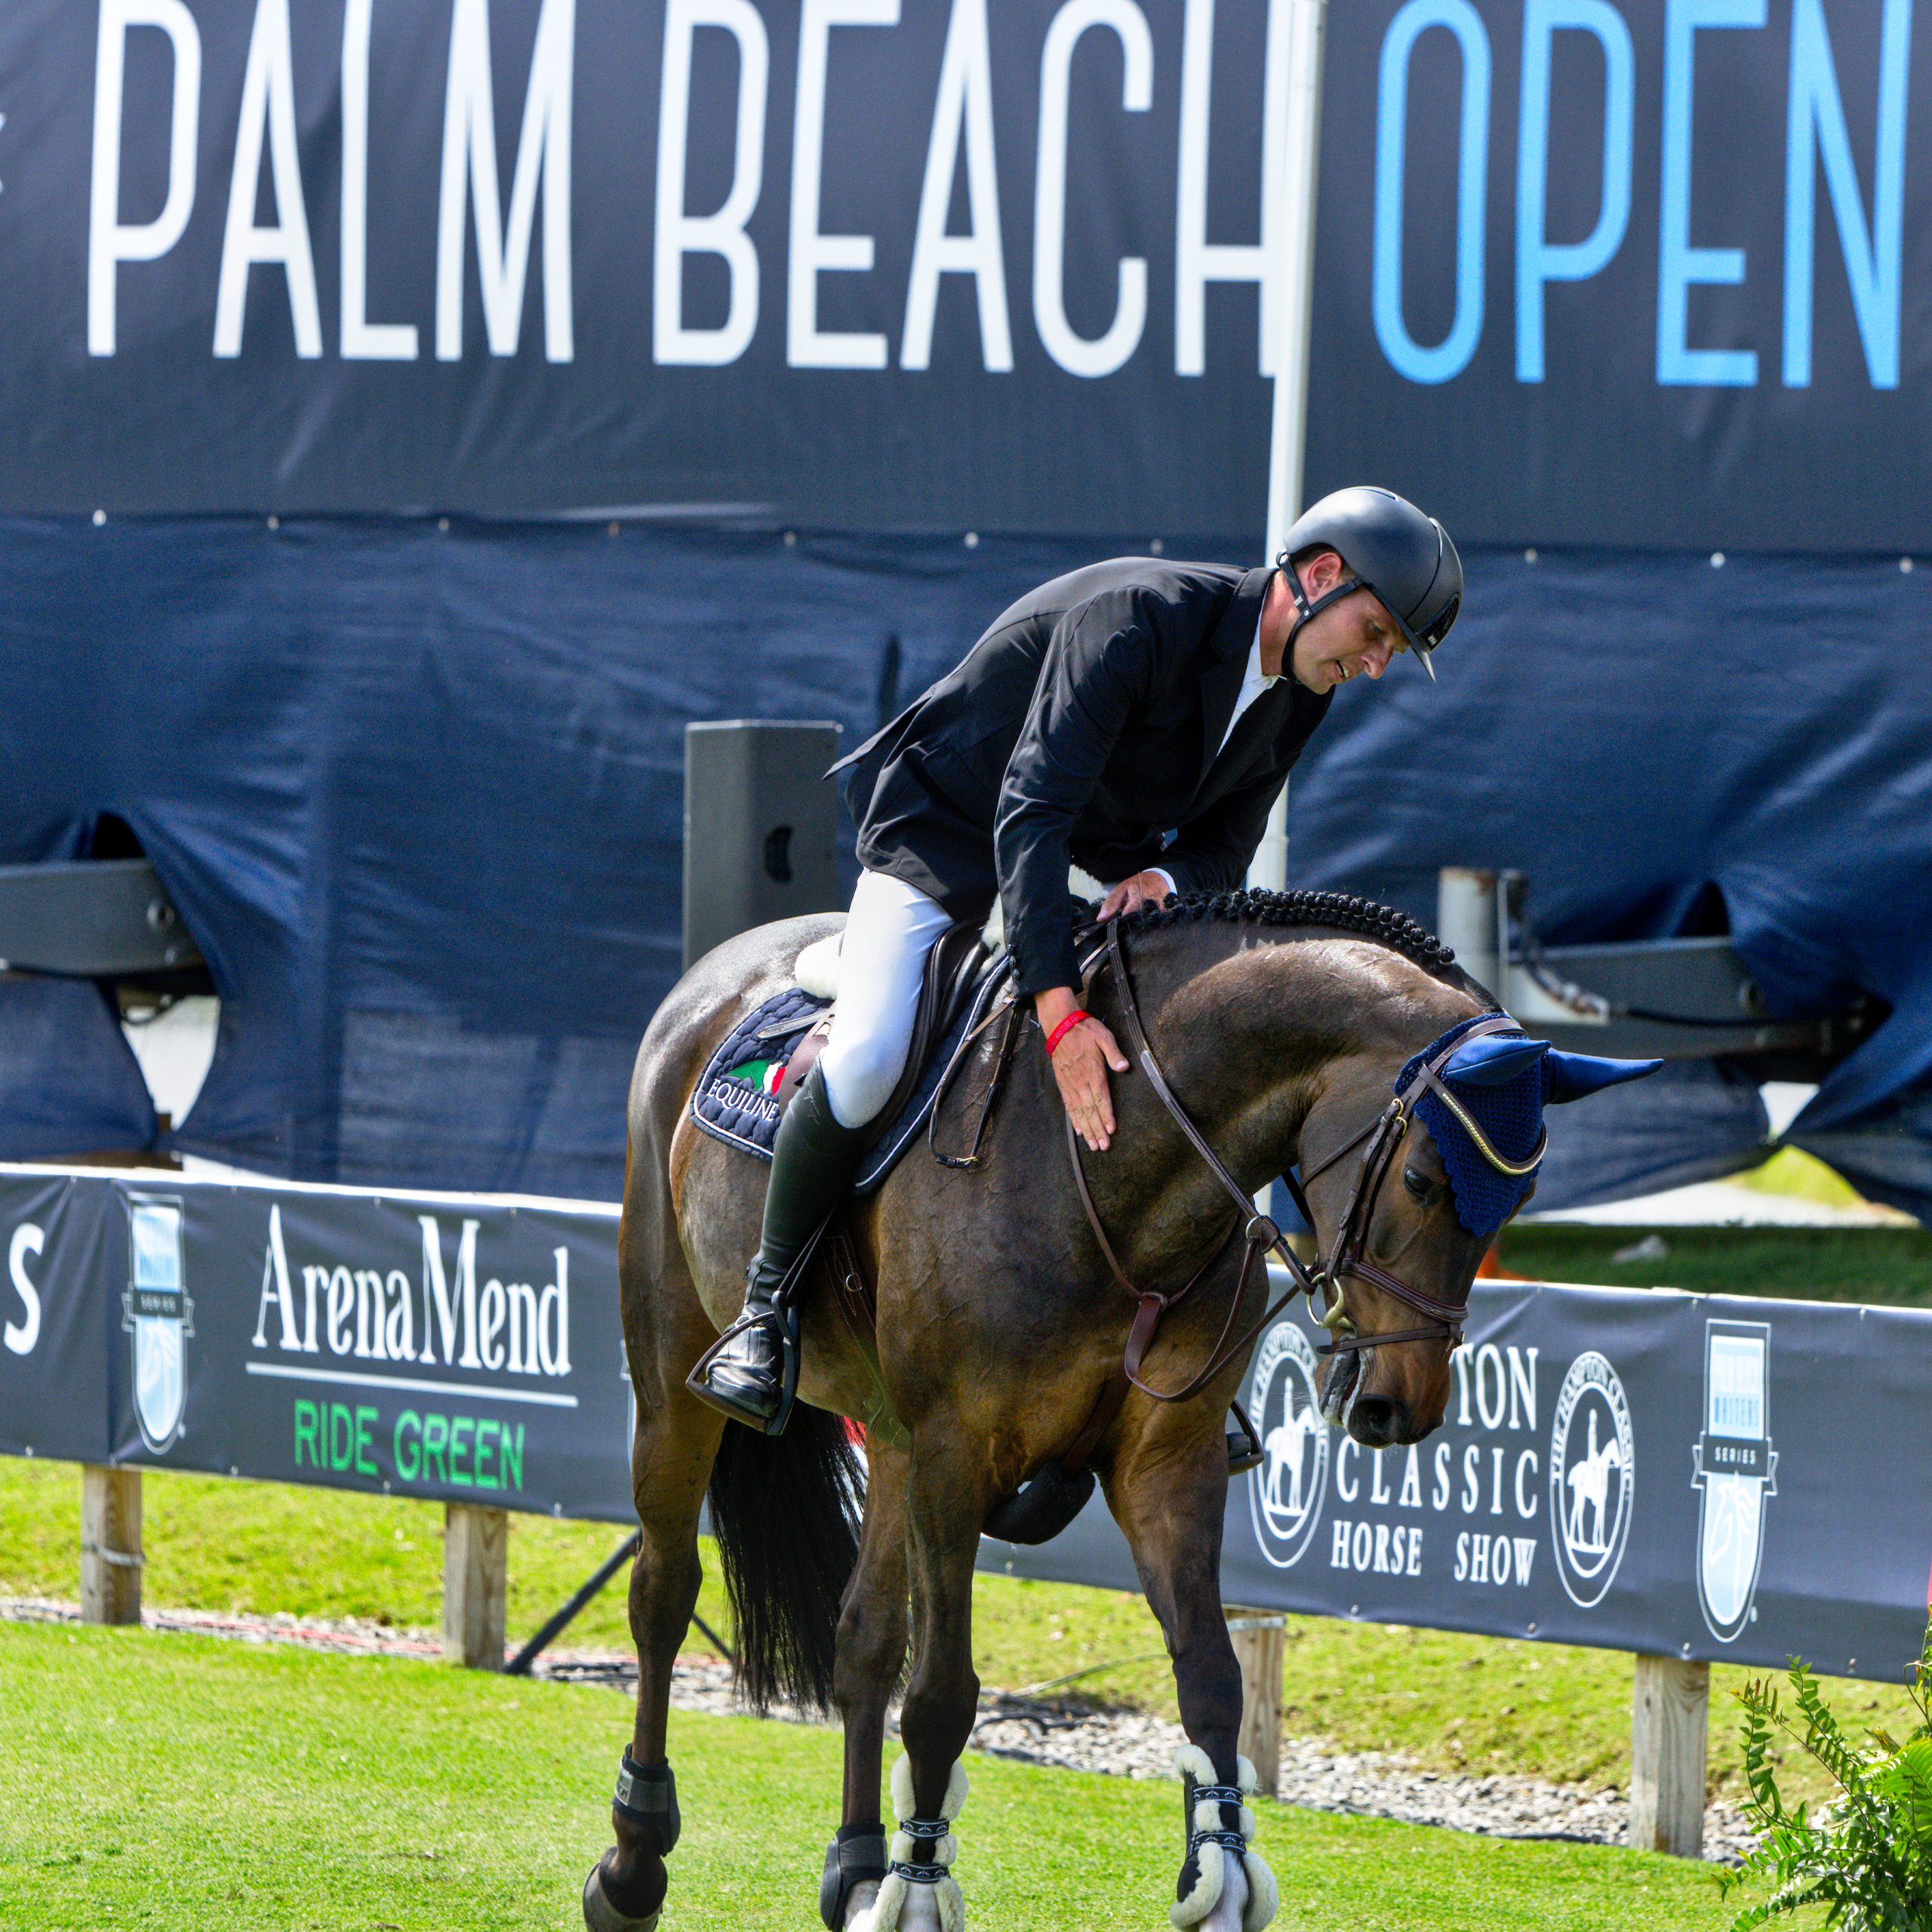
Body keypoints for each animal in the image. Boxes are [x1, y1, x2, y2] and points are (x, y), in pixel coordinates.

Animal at [591, 892, 1568, 1932]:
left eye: (1516, 1199)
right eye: (1422, 1180)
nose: (1398, 1406)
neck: (1117, 1174)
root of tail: (722, 963)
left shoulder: (1166, 1460)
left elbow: (1210, 1673)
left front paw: (1220, 1879)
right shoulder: (956, 1454)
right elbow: (942, 1695)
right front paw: (923, 1889)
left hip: (889, 1440)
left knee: (863, 1638)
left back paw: (855, 1870)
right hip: (674, 1371)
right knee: (663, 1593)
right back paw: (634, 1861)